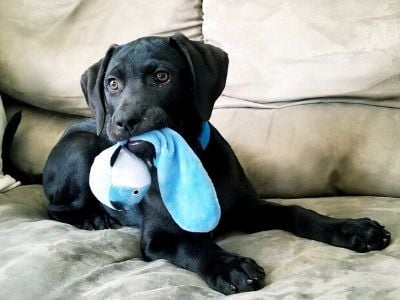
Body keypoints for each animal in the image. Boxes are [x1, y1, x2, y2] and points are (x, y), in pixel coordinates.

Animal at [43, 32, 390, 292]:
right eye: (112, 84)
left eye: (162, 76)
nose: (124, 122)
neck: (189, 161)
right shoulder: (159, 237)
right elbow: (194, 247)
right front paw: (230, 265)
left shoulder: (249, 208)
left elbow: (296, 211)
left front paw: (351, 228)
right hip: (83, 147)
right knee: (55, 208)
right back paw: (93, 218)